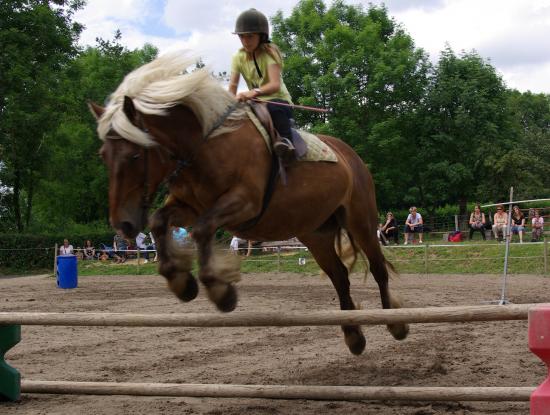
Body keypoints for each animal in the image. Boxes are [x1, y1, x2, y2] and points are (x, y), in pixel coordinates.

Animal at [90, 52, 410, 356]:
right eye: (104, 155)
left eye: (134, 156)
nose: (123, 224)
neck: (207, 147)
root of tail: (350, 156)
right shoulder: (188, 207)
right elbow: (160, 221)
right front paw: (182, 282)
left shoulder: (244, 204)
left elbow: (202, 230)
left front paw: (220, 292)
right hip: (315, 232)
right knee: (340, 277)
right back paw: (354, 336)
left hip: (361, 221)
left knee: (378, 269)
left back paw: (396, 323)